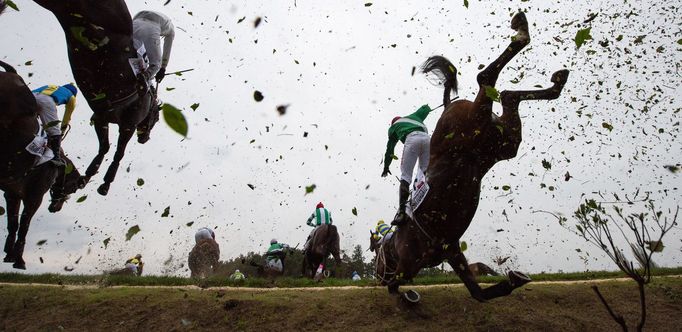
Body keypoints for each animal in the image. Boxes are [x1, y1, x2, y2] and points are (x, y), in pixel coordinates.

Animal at [0, 60, 81, 270]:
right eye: (73, 188)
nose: (56, 207)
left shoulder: (12, 192)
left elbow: (13, 223)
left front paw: (9, 253)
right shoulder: (34, 196)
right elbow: (24, 224)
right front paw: (18, 259)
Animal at [33, 0, 159, 196]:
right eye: (156, 119)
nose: (145, 139)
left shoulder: (101, 118)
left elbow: (104, 147)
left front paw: (86, 177)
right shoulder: (128, 125)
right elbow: (117, 152)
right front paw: (106, 183)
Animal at [382, 12, 568, 304]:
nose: (379, 275)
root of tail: (449, 106)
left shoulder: (409, 263)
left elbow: (397, 283)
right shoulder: (451, 250)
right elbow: (478, 293)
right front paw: (514, 279)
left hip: (470, 127)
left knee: (485, 77)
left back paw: (521, 31)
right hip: (500, 143)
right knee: (507, 95)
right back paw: (555, 81)